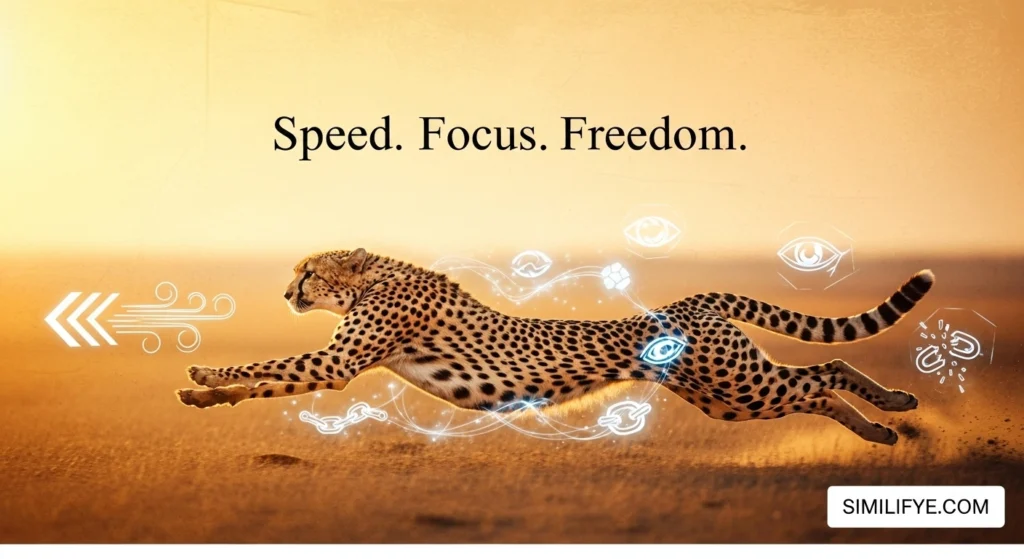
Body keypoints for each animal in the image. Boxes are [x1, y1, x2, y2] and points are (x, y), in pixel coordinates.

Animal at [177, 248, 932, 445]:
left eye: (307, 272)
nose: (286, 293)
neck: (377, 276)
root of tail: (693, 299)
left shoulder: (336, 360)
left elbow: (266, 364)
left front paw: (203, 370)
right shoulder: (335, 365)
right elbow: (268, 379)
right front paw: (200, 394)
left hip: (737, 384)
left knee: (821, 375)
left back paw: (887, 417)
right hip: (726, 395)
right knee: (822, 373)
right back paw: (888, 418)